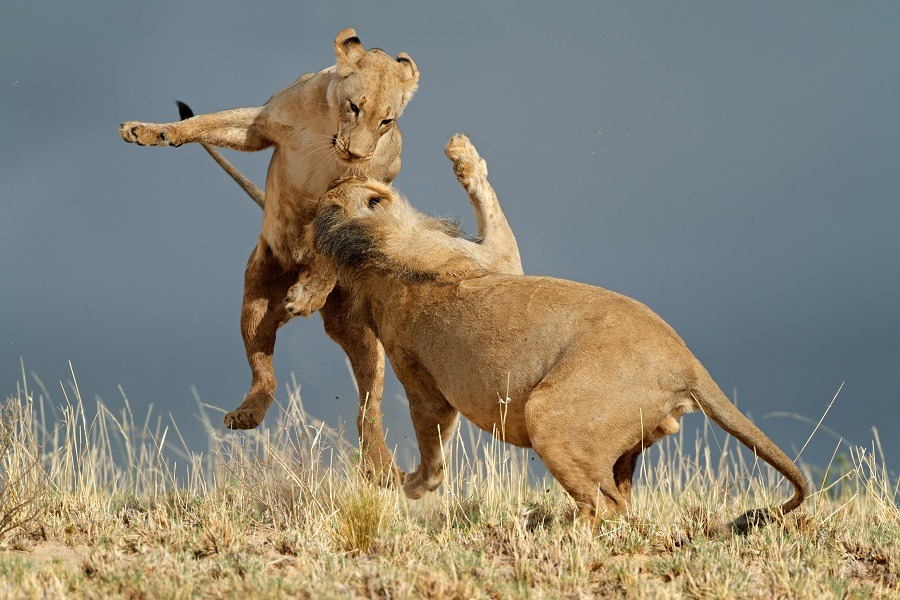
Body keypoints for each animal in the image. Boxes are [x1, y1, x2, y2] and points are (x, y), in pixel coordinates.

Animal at [118, 29, 424, 482]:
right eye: (355, 107)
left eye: (387, 121)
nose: (356, 153)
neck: (328, 130)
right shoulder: (259, 124)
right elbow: (201, 123)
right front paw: (146, 131)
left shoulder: (370, 183)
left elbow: (333, 234)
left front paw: (310, 289)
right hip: (258, 297)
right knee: (266, 373)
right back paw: (247, 412)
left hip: (361, 331)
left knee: (369, 408)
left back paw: (380, 464)